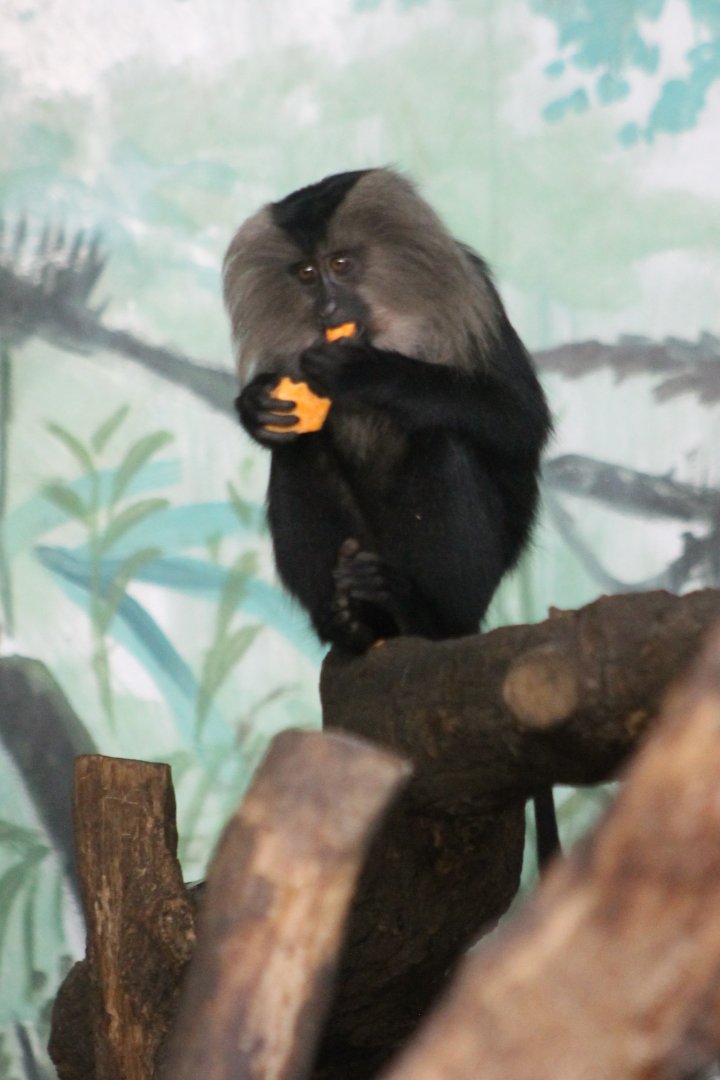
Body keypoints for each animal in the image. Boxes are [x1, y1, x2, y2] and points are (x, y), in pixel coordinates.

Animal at [223, 167, 558, 863]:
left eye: (341, 265)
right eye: (305, 273)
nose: (326, 311)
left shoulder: (472, 296)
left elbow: (518, 418)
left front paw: (368, 371)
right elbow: (284, 434)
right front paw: (254, 406)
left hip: (466, 586)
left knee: (443, 440)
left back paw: (417, 615)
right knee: (298, 452)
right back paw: (351, 620)